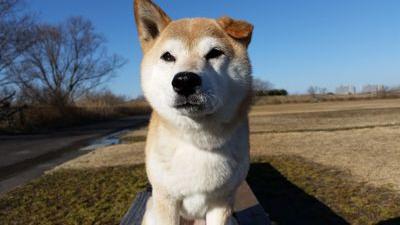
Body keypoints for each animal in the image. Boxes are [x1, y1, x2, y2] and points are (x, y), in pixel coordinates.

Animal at [134, 0, 253, 224]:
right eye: (168, 56)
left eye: (214, 53)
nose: (185, 81)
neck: (198, 142)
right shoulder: (166, 200)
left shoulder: (221, 203)